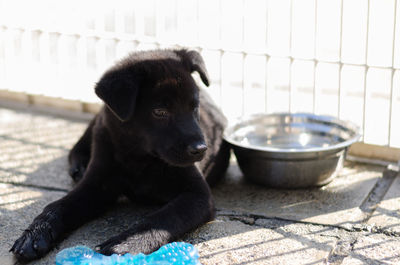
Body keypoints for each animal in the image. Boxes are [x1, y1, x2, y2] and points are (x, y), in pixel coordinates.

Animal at [10, 49, 231, 260]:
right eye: (160, 112)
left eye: (195, 107)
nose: (201, 149)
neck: (139, 156)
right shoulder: (97, 183)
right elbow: (58, 206)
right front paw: (35, 234)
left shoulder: (198, 195)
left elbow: (165, 217)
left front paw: (126, 244)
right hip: (99, 121)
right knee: (77, 147)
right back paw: (79, 167)